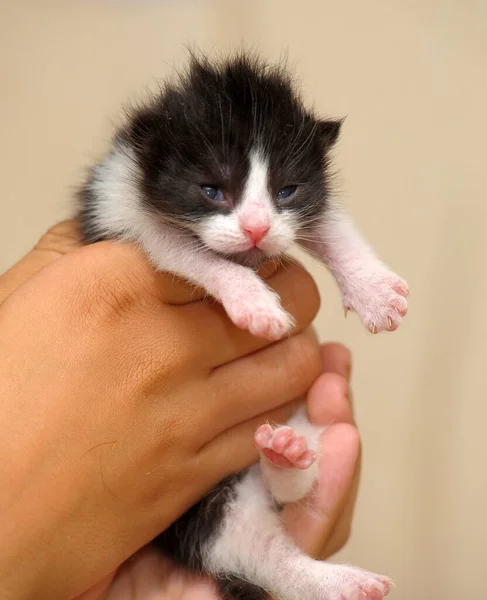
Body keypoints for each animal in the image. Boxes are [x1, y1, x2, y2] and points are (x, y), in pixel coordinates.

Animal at [77, 52, 408, 600]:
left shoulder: (305, 207)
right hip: (200, 510)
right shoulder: (119, 206)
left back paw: (288, 459)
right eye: (212, 190)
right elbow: (187, 251)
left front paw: (374, 291)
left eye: (285, 191)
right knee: (256, 549)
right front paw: (253, 301)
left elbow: (331, 222)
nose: (256, 228)